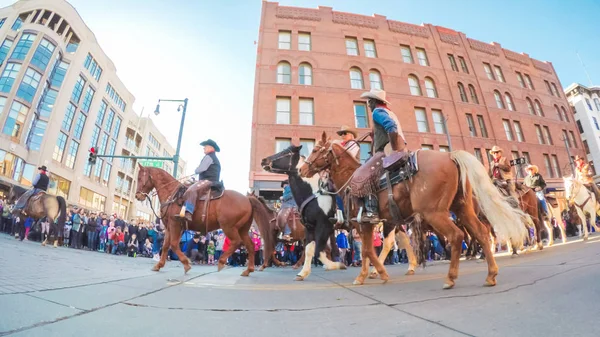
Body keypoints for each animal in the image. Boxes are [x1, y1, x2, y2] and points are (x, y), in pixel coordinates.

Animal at [135, 163, 274, 276]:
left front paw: (186, 264)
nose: (137, 196)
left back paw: (222, 262)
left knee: (236, 242)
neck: (172, 194)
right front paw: (159, 265)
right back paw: (248, 270)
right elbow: (165, 246)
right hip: (242, 229)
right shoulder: (170, 227)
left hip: (229, 227)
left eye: (140, 178)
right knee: (250, 245)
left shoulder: (175, 225)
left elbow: (173, 244)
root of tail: (247, 199)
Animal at [258, 146, 346, 280]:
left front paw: (339, 265)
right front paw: (303, 273)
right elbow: (310, 250)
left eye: (285, 152)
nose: (264, 160)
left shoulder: (323, 226)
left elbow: (318, 252)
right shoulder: (310, 228)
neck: (315, 196)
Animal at [298, 133, 528, 288]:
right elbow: (366, 251)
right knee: (480, 233)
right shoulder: (366, 225)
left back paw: (450, 278)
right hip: (462, 208)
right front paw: (366, 275)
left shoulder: (364, 223)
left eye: (316, 149)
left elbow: (367, 251)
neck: (349, 179)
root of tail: (450, 156)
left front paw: (377, 274)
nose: (302, 169)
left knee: (456, 236)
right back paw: (490, 275)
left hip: (435, 213)